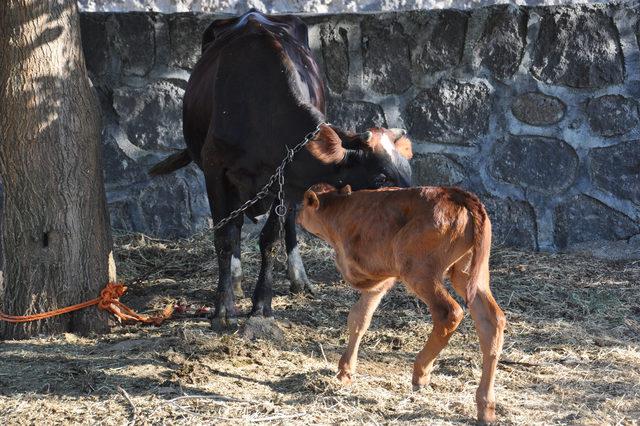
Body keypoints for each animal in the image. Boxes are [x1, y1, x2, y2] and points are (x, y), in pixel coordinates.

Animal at [148, 10, 412, 324]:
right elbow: (224, 236)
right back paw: (235, 278)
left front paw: (262, 303)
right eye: (382, 177)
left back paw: (299, 278)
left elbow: (270, 239)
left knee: (289, 222)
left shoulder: (285, 179)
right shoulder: (215, 172)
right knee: (236, 225)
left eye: (408, 172)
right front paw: (224, 308)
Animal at [298, 185, 508, 424]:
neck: (340, 208)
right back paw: (486, 407)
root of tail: (456, 194)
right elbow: (359, 318)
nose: (296, 217)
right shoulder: (382, 282)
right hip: (469, 274)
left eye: (303, 204)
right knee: (491, 320)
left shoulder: (380, 275)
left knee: (449, 312)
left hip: (419, 271)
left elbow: (358, 315)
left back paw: (421, 373)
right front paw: (345, 371)